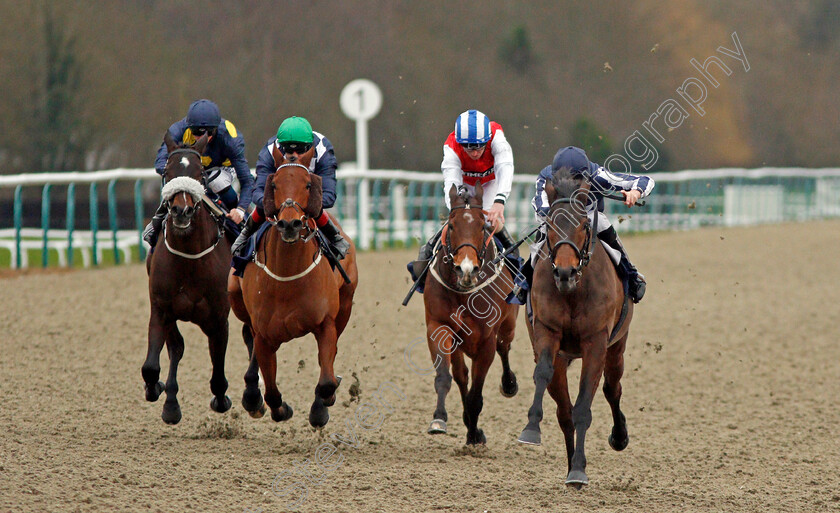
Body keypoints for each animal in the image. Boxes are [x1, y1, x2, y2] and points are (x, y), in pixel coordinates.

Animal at [141, 132, 233, 424]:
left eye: (200, 174)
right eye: (166, 173)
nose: (182, 211)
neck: (189, 257)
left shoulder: (218, 318)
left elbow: (218, 373)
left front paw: (222, 400)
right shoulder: (161, 309)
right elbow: (152, 366)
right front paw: (158, 391)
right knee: (176, 348)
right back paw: (170, 401)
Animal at [226, 145, 358, 428]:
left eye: (308, 184)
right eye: (274, 184)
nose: (290, 224)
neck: (288, 277)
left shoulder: (326, 323)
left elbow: (326, 380)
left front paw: (322, 407)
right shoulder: (264, 335)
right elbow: (272, 392)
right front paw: (279, 407)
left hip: (346, 304)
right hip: (236, 299)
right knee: (248, 337)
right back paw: (252, 396)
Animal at [426, 183, 520, 444]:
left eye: (482, 226)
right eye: (452, 224)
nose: (466, 269)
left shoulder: (486, 339)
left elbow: (476, 395)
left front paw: (474, 434)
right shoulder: (439, 327)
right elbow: (448, 376)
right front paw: (441, 419)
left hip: (509, 325)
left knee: (504, 348)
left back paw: (509, 384)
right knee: (462, 375)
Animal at [516, 168, 632, 488]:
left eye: (582, 224)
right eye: (550, 225)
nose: (565, 272)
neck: (573, 291)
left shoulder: (596, 343)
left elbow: (584, 407)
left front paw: (579, 469)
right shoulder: (547, 332)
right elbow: (543, 375)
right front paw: (531, 429)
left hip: (617, 347)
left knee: (612, 388)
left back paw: (618, 438)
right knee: (563, 410)